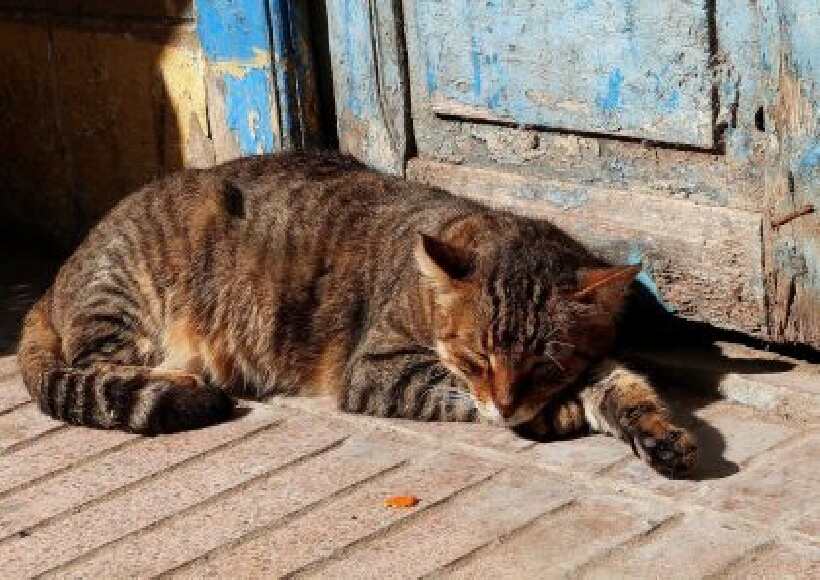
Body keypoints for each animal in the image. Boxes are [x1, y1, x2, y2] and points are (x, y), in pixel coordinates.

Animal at [16, 150, 696, 476]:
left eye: (542, 364)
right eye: (477, 358)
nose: (507, 405)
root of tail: (60, 275)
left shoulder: (596, 363)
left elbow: (626, 387)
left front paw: (658, 434)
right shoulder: (378, 368)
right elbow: (448, 390)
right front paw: (553, 414)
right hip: (127, 302)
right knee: (95, 368)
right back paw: (184, 383)